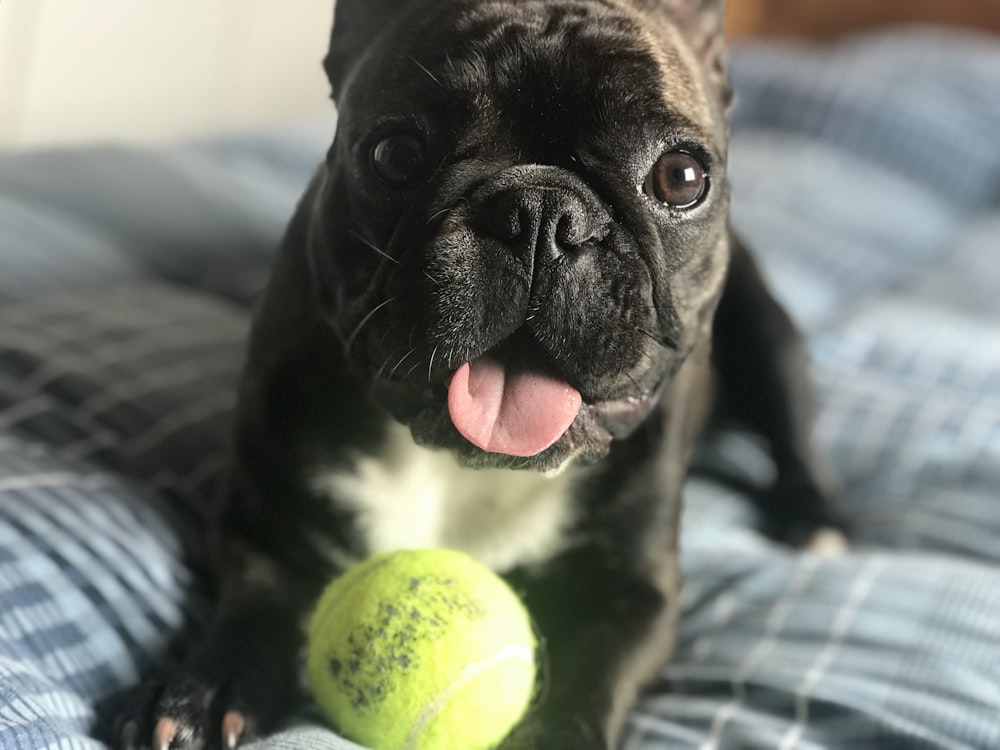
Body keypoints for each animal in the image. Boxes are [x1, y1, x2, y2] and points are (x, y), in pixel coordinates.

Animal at [113, 0, 844, 748]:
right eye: (396, 155)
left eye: (681, 178)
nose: (542, 215)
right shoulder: (265, 523)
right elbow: (257, 597)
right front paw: (211, 687)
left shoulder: (637, 591)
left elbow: (593, 670)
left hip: (773, 341)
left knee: (795, 439)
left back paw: (815, 520)